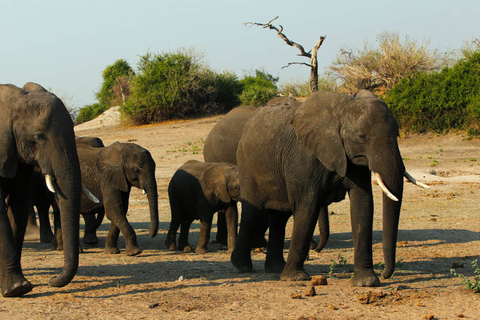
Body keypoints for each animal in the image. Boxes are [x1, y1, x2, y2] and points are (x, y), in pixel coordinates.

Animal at [231, 90, 430, 288]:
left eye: (397, 134)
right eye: (361, 137)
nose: (386, 274)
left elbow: (363, 205)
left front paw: (367, 282)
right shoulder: (303, 158)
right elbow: (308, 207)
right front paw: (296, 279)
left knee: (280, 217)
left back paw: (275, 269)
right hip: (247, 164)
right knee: (253, 212)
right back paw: (243, 267)